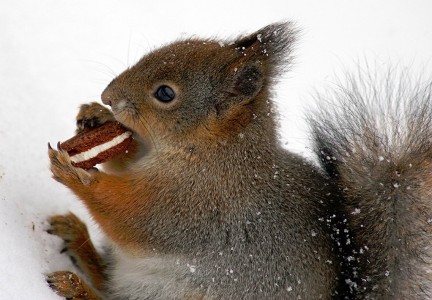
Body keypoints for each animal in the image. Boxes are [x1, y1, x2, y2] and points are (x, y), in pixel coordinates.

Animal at [45, 21, 430, 300]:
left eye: (165, 94)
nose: (107, 96)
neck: (212, 150)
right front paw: (93, 116)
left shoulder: (193, 203)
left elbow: (131, 217)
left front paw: (78, 177)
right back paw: (77, 240)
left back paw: (76, 286)